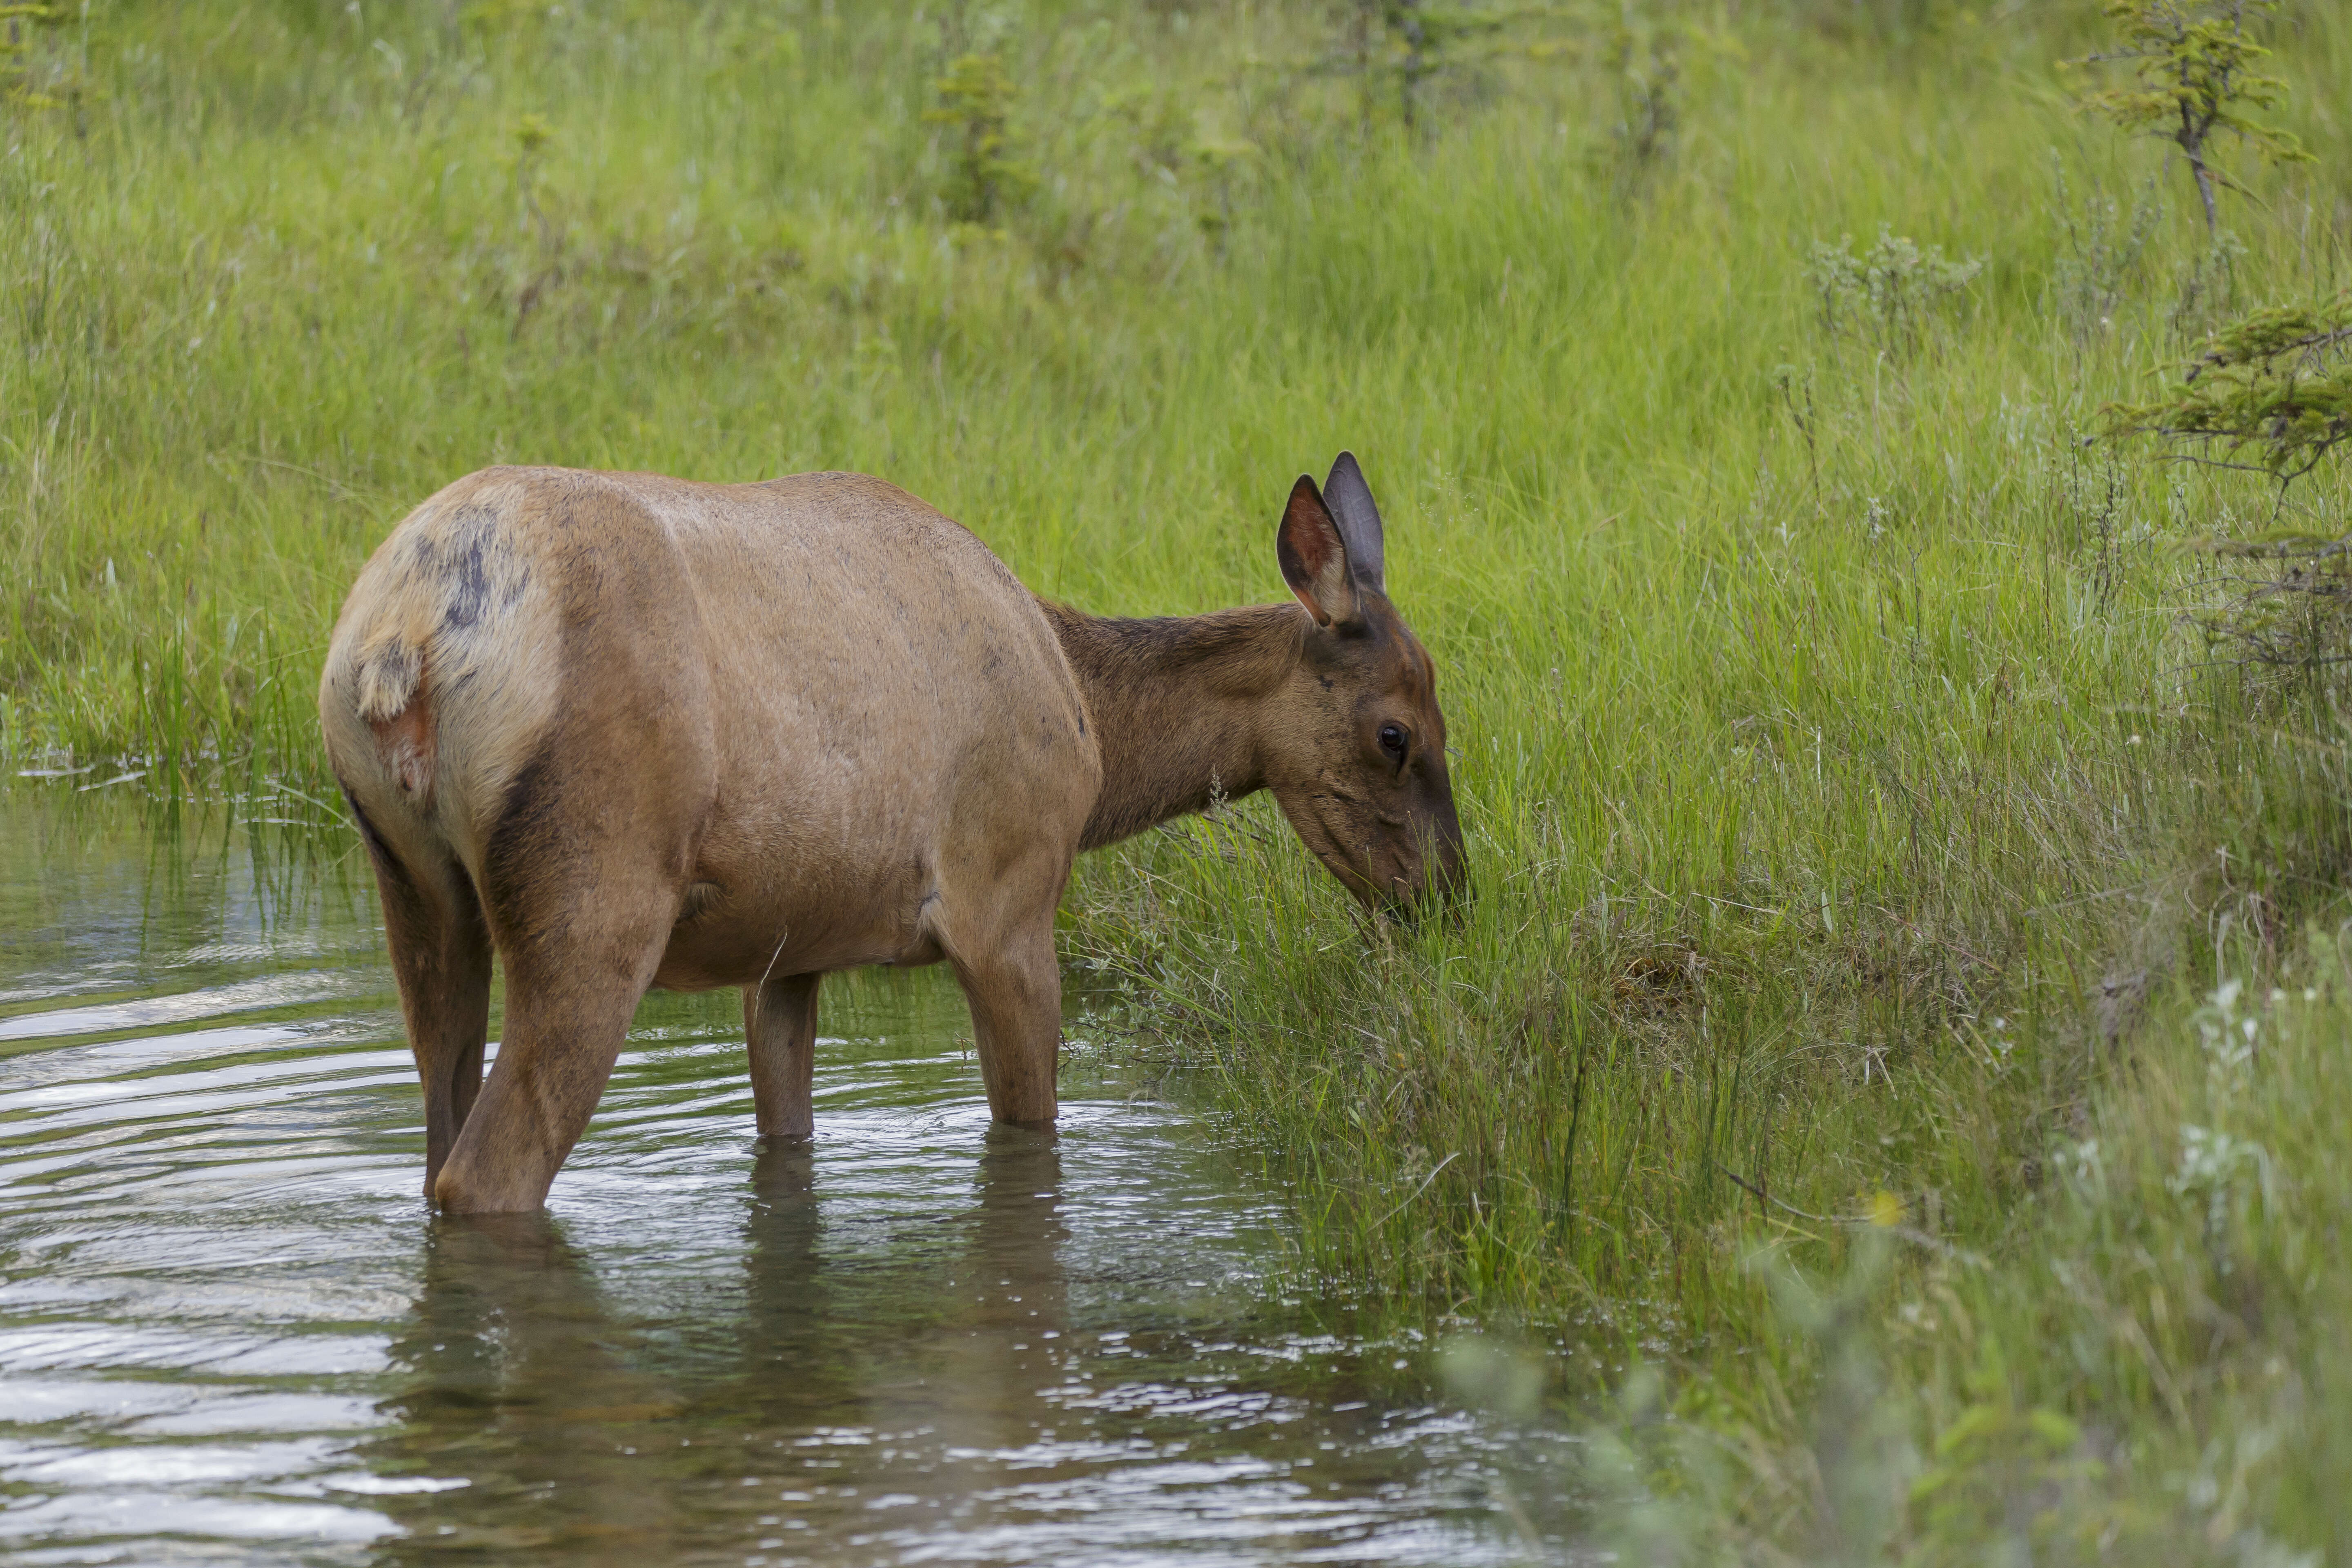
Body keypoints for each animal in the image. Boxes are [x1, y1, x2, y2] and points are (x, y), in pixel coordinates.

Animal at [322, 454, 1458, 1213]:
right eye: (1396, 732)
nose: (1449, 896)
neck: (1091, 726)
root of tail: (403, 639)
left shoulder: (787, 943)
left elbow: (786, 1126)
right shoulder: (1006, 894)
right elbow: (1027, 1128)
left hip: (412, 885)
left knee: (436, 1140)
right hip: (598, 883)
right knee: (483, 1174)